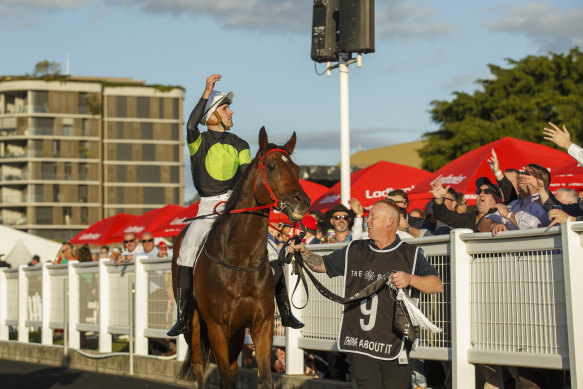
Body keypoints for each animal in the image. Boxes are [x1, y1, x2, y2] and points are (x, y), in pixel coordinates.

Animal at [172, 126, 312, 384]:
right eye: (272, 166)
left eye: (297, 169)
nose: (303, 202)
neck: (240, 260)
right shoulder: (217, 327)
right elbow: (225, 377)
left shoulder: (261, 325)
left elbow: (264, 377)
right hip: (194, 326)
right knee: (199, 364)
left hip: (236, 333)